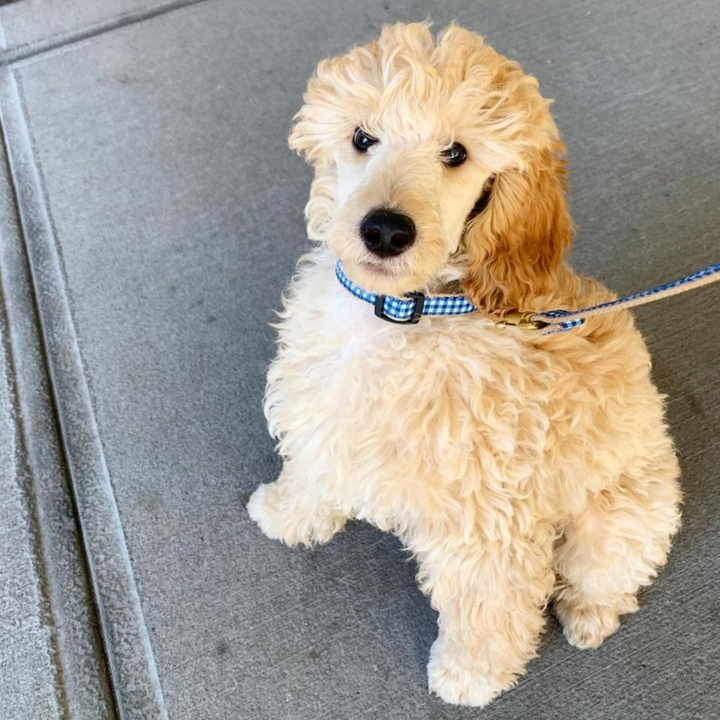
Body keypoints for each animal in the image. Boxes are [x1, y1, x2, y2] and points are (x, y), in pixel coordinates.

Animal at [248, 23, 680, 708]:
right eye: (362, 138)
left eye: (456, 153)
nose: (385, 230)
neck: (405, 313)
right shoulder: (327, 414)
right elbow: (315, 468)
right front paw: (289, 514)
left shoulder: (488, 521)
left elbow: (488, 603)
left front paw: (471, 675)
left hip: (621, 517)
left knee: (606, 572)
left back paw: (589, 613)